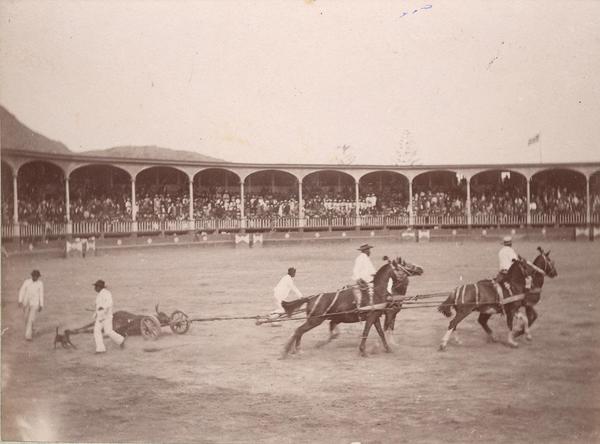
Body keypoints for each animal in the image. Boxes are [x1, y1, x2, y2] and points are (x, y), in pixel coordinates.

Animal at [282, 256, 418, 358]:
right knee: (299, 330)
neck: (376, 293)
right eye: (404, 266)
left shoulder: (376, 316)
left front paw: (388, 348)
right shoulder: (371, 317)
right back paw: (290, 350)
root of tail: (310, 298)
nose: (420, 269)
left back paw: (296, 350)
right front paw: (363, 351)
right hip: (314, 320)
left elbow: (381, 333)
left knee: (300, 331)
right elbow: (366, 331)